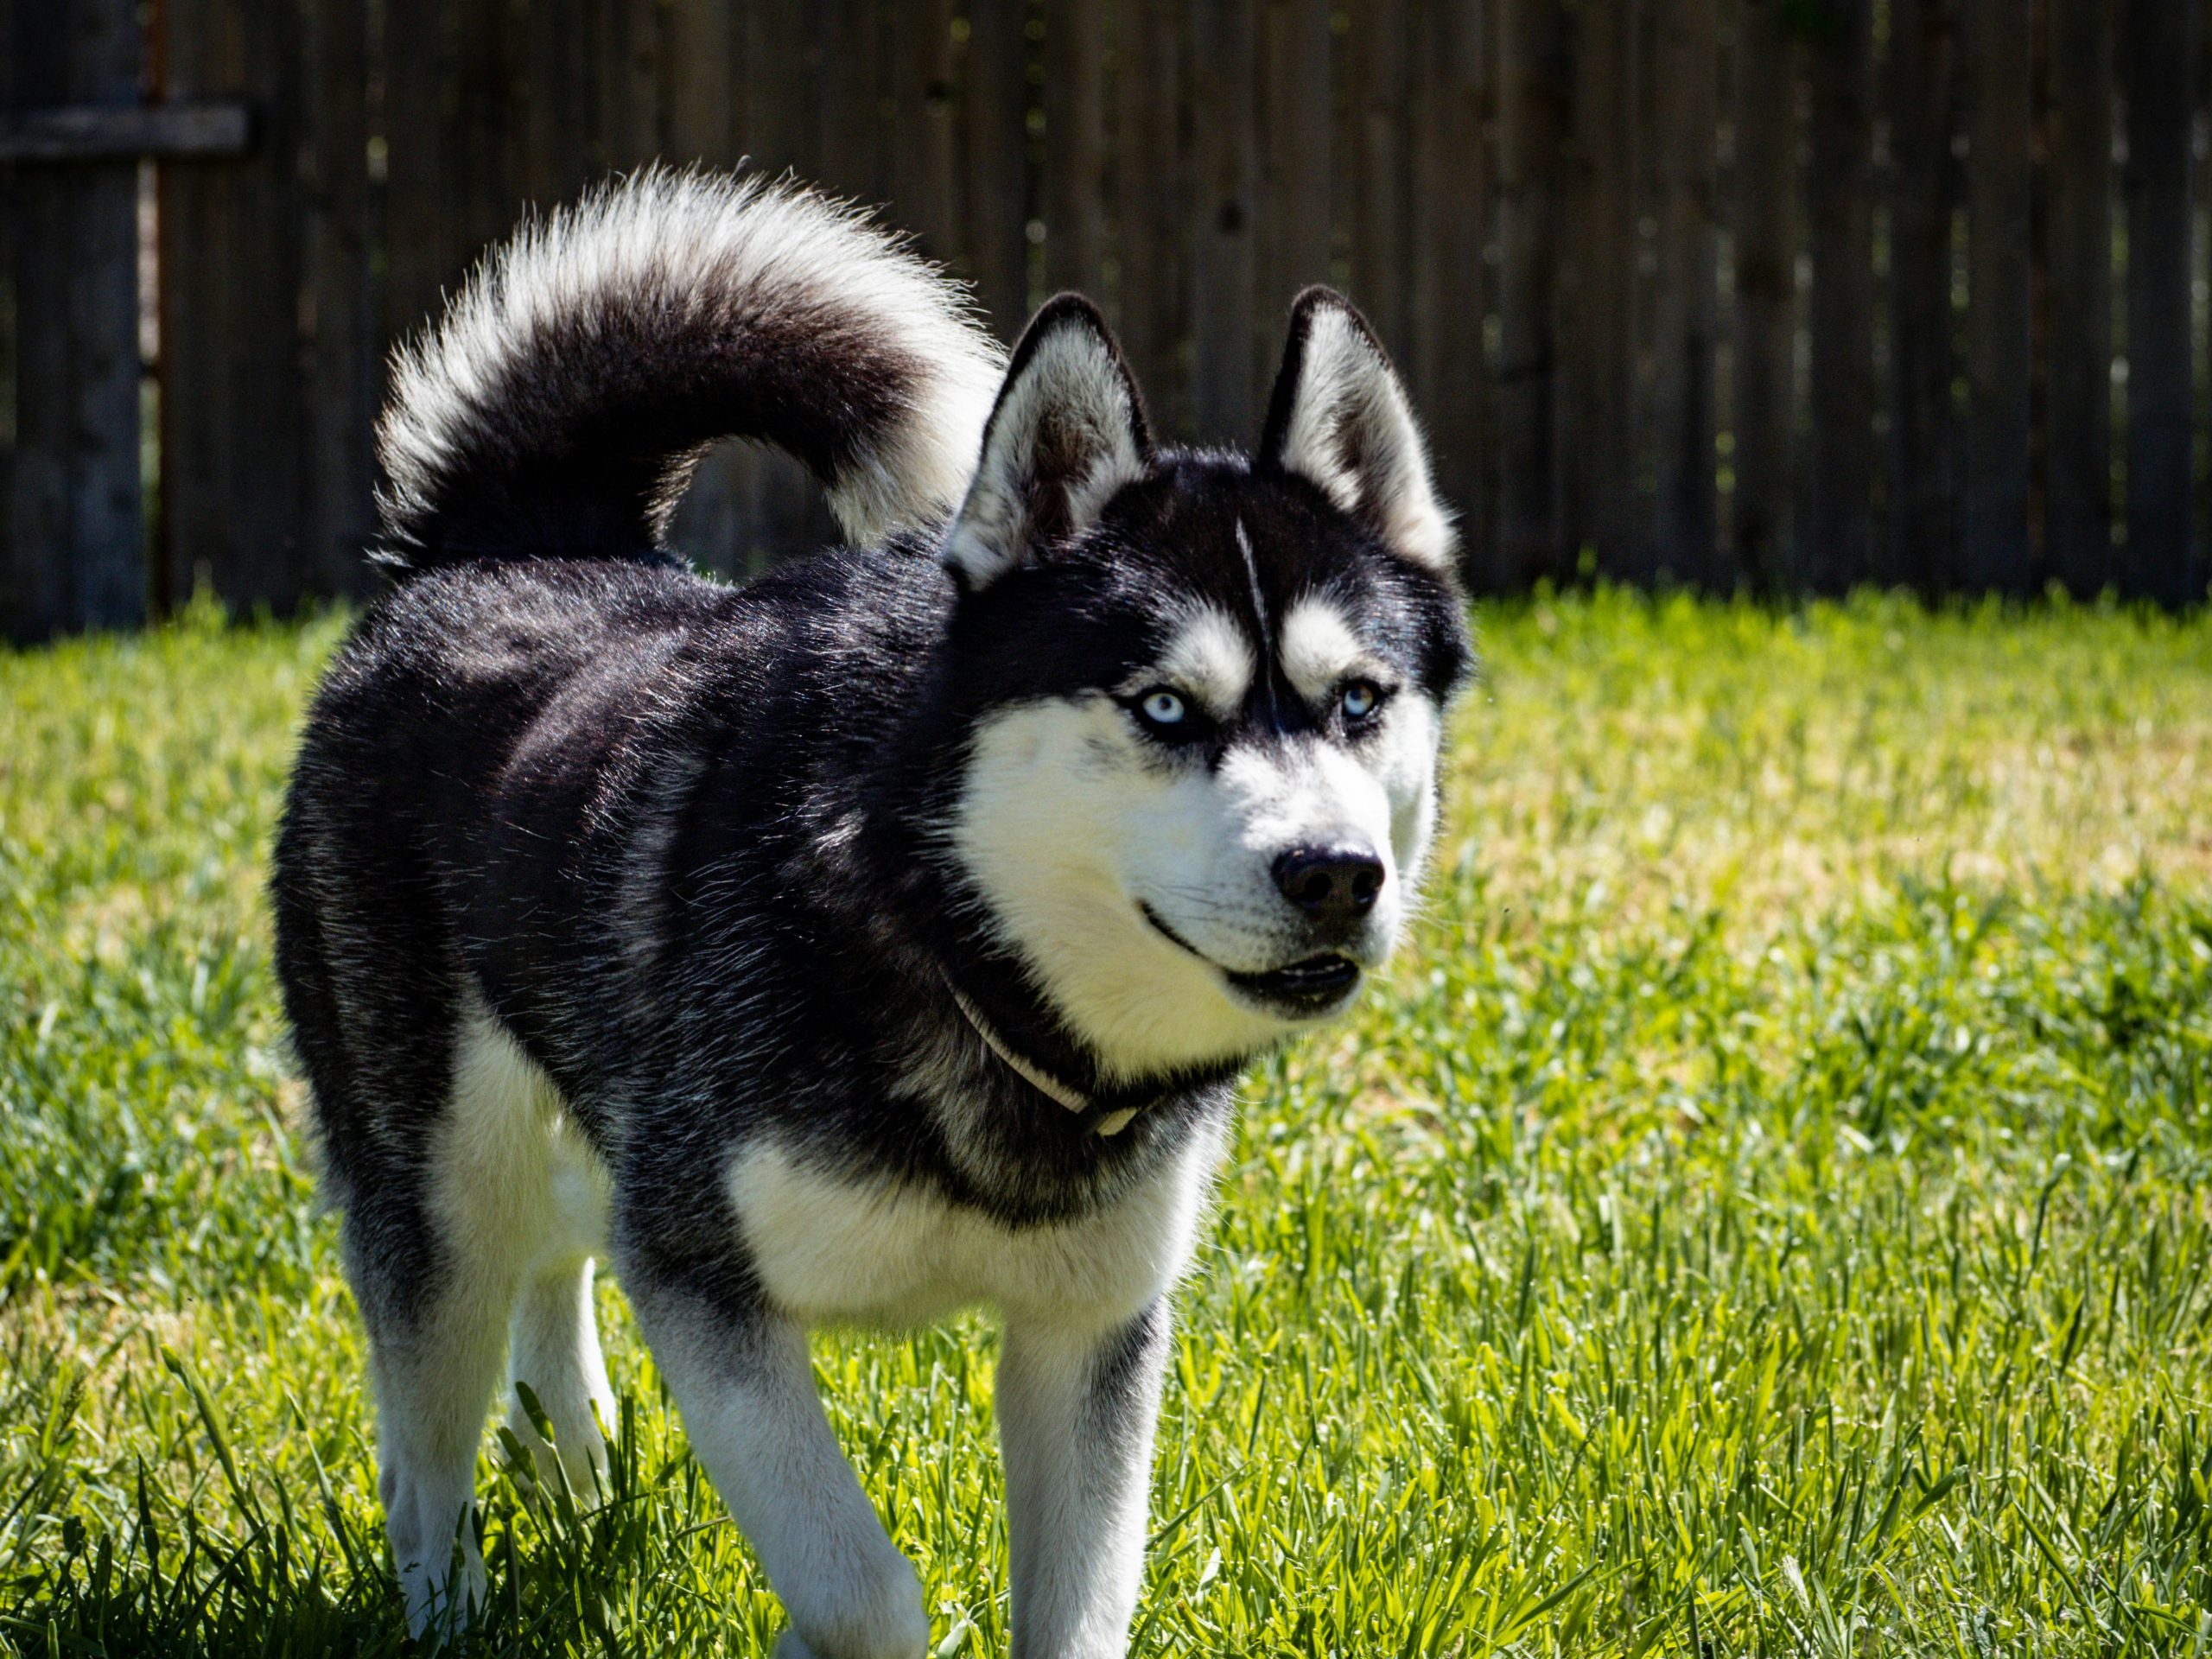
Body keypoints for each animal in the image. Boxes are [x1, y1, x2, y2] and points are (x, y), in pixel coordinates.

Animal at [276, 172, 1478, 1659]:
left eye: (1359, 699)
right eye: (1162, 707)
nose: (1334, 873)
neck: (961, 954)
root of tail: (517, 540)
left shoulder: (1092, 1330)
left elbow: (1080, 1609)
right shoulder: (703, 1278)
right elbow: (862, 1590)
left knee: (553, 1247)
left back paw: (572, 1452)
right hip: (435, 1176)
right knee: (426, 1442)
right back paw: (454, 1597)